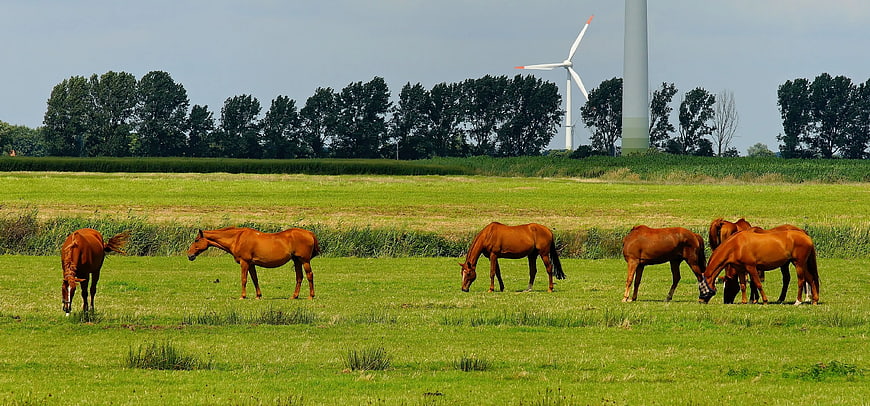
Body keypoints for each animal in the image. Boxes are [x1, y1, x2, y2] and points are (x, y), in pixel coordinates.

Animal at [187, 227, 320, 299]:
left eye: (196, 240)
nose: (189, 255)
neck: (237, 238)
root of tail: (309, 233)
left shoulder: (244, 263)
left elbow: (244, 279)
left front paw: (243, 296)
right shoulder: (251, 264)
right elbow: (255, 279)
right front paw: (258, 296)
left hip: (304, 261)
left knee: (309, 275)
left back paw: (311, 296)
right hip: (297, 260)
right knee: (299, 277)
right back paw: (294, 296)